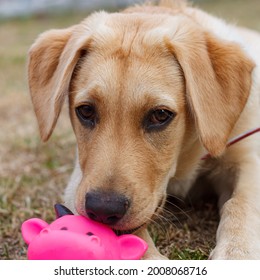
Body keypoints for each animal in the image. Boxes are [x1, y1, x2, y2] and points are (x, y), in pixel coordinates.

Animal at [27, 0, 260, 260]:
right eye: (85, 111)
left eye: (160, 115)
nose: (103, 210)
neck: (183, 163)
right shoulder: (78, 183)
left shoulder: (246, 158)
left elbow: (241, 202)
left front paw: (237, 252)